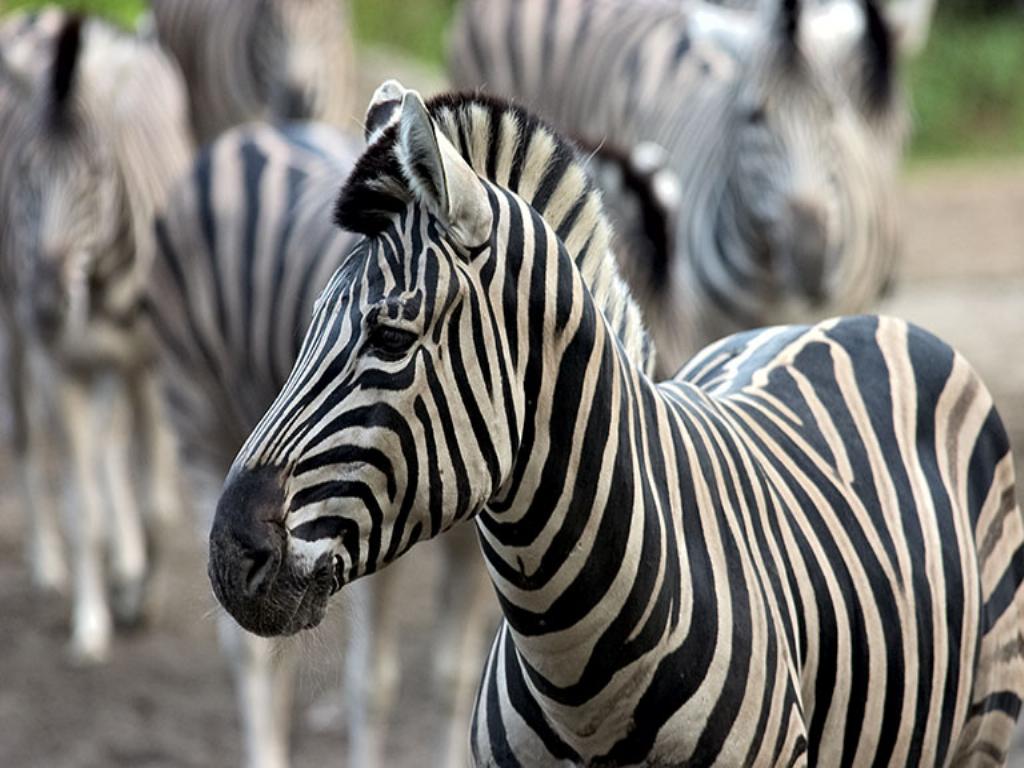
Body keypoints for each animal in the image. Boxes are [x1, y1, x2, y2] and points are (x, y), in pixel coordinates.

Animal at [0, 12, 193, 662]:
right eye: (25, 177)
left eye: (97, 176)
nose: (47, 306)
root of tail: (46, 16)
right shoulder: (60, 368)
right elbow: (80, 506)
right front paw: (91, 624)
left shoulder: (155, 371)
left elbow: (159, 506)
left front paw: (143, 600)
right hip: (16, 334)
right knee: (27, 437)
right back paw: (49, 563)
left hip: (120, 368)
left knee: (112, 448)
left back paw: (127, 562)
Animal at [147, 119, 497, 768]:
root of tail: (251, 133)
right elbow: (372, 683)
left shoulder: (469, 548)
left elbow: (454, 678)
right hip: (197, 420)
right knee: (247, 650)